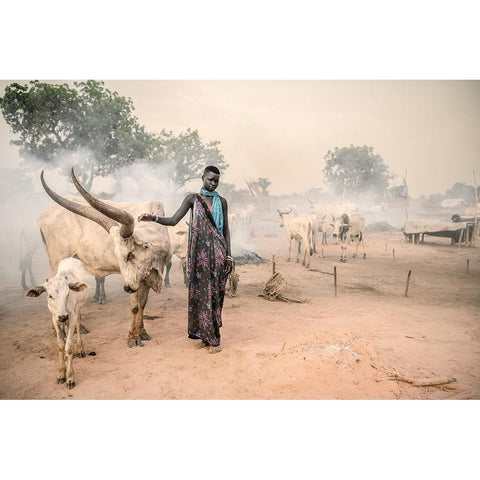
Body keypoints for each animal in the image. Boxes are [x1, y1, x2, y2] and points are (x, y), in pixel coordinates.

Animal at [26, 256, 90, 388]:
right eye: (50, 296)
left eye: (68, 294)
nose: (63, 317)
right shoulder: (54, 318)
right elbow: (60, 345)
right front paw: (61, 373)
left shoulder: (71, 316)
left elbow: (69, 346)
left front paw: (70, 377)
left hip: (78, 309)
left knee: (78, 325)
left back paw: (80, 349)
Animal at [39, 170, 172, 348]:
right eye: (118, 255)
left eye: (130, 254)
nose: (127, 288)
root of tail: (46, 213)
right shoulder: (132, 280)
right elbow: (135, 306)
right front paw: (132, 338)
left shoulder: (143, 277)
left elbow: (143, 304)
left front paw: (143, 332)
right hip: (57, 259)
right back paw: (58, 329)